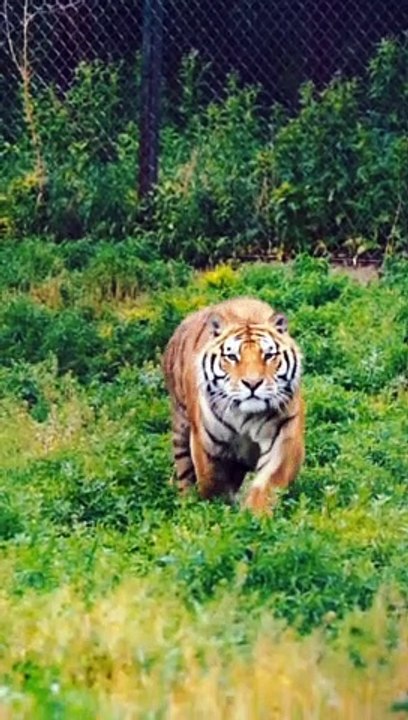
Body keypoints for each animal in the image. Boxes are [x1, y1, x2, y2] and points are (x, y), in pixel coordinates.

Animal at [162, 297, 304, 513]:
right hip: (181, 432)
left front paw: (255, 515)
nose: (253, 383)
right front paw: (218, 513)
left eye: (268, 355)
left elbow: (268, 482)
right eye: (232, 356)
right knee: (185, 476)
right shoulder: (206, 444)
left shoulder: (284, 436)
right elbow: (213, 485)